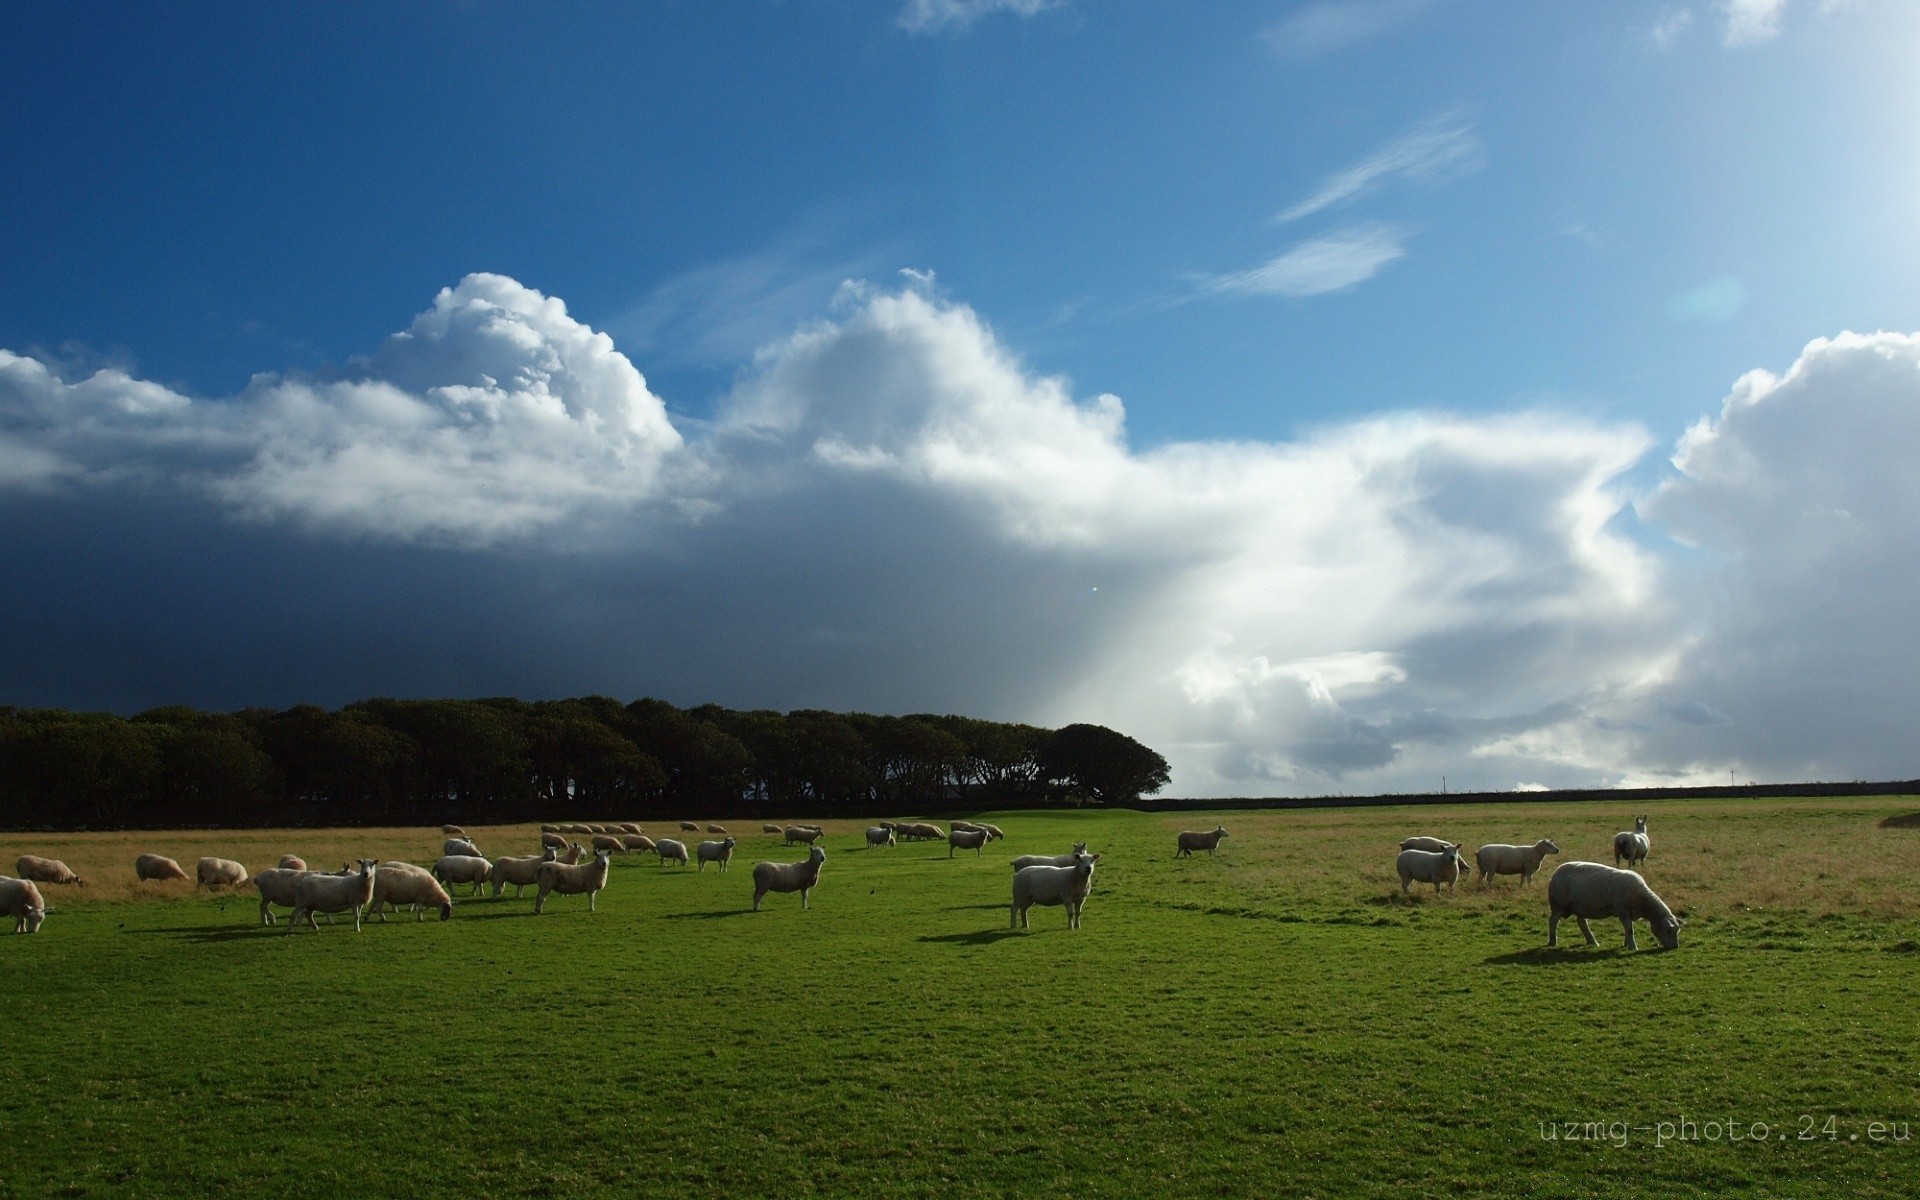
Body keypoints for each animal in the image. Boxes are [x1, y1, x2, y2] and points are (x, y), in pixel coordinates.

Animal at [1543, 856, 1681, 948]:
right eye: (1669, 931)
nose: (1675, 947)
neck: (1642, 901)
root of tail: (1557, 870)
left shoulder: (1629, 913)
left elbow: (1628, 928)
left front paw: (1626, 944)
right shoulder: (1623, 911)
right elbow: (1629, 929)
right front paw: (1632, 947)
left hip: (1580, 905)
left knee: (1581, 922)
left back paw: (1592, 941)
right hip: (1558, 904)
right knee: (1553, 921)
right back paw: (1552, 941)